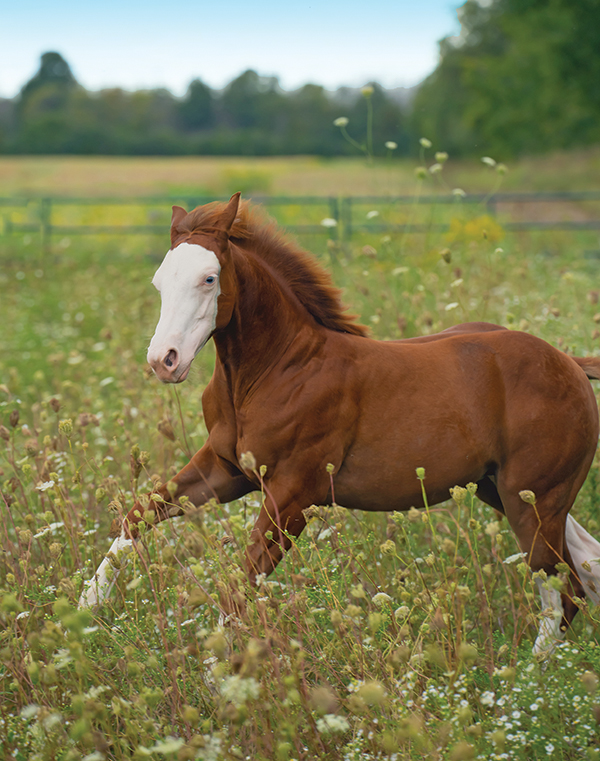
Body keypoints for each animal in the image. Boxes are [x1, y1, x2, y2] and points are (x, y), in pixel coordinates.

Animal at [80, 193, 600, 656]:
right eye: (159, 281)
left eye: (209, 278)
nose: (163, 361)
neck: (277, 370)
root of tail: (569, 363)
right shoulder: (225, 471)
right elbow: (137, 514)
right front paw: (85, 610)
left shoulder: (295, 494)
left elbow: (241, 582)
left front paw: (216, 677)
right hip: (507, 491)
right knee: (583, 568)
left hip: (532, 499)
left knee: (562, 588)